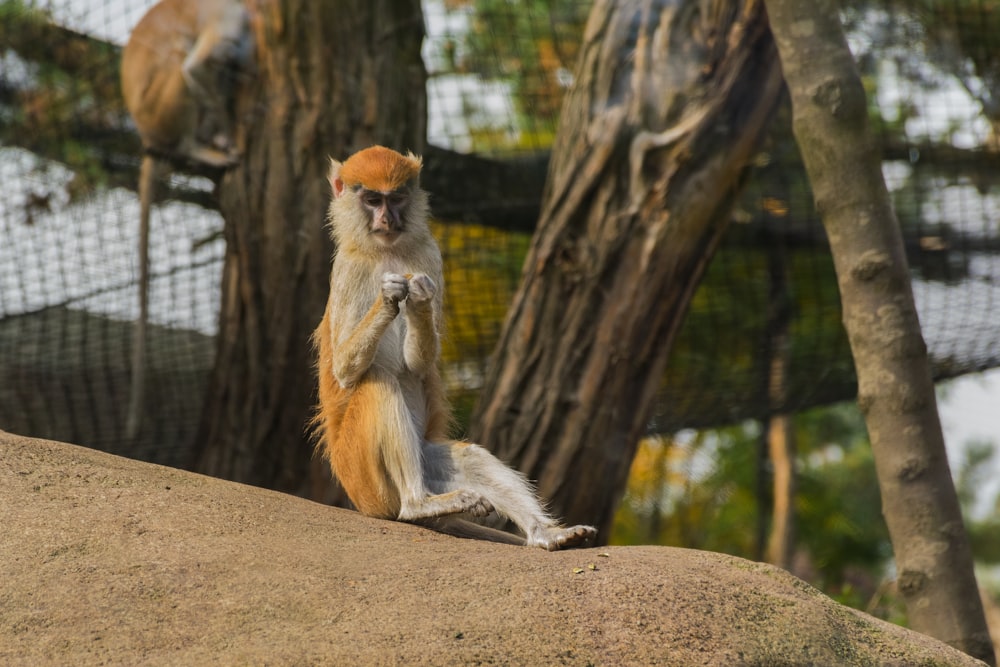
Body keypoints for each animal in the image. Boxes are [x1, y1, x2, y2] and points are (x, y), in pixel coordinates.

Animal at [120, 0, 254, 438]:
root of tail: (147, 136)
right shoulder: (227, 15)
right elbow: (197, 68)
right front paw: (226, 136)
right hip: (162, 106)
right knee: (182, 63)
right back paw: (198, 146)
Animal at [312, 147, 592, 552]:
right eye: (373, 200)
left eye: (398, 197)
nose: (388, 218)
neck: (387, 251)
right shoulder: (349, 268)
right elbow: (347, 372)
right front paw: (389, 297)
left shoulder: (429, 253)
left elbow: (418, 364)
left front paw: (419, 299)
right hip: (365, 478)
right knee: (378, 383)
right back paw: (418, 505)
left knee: (470, 456)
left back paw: (546, 533)